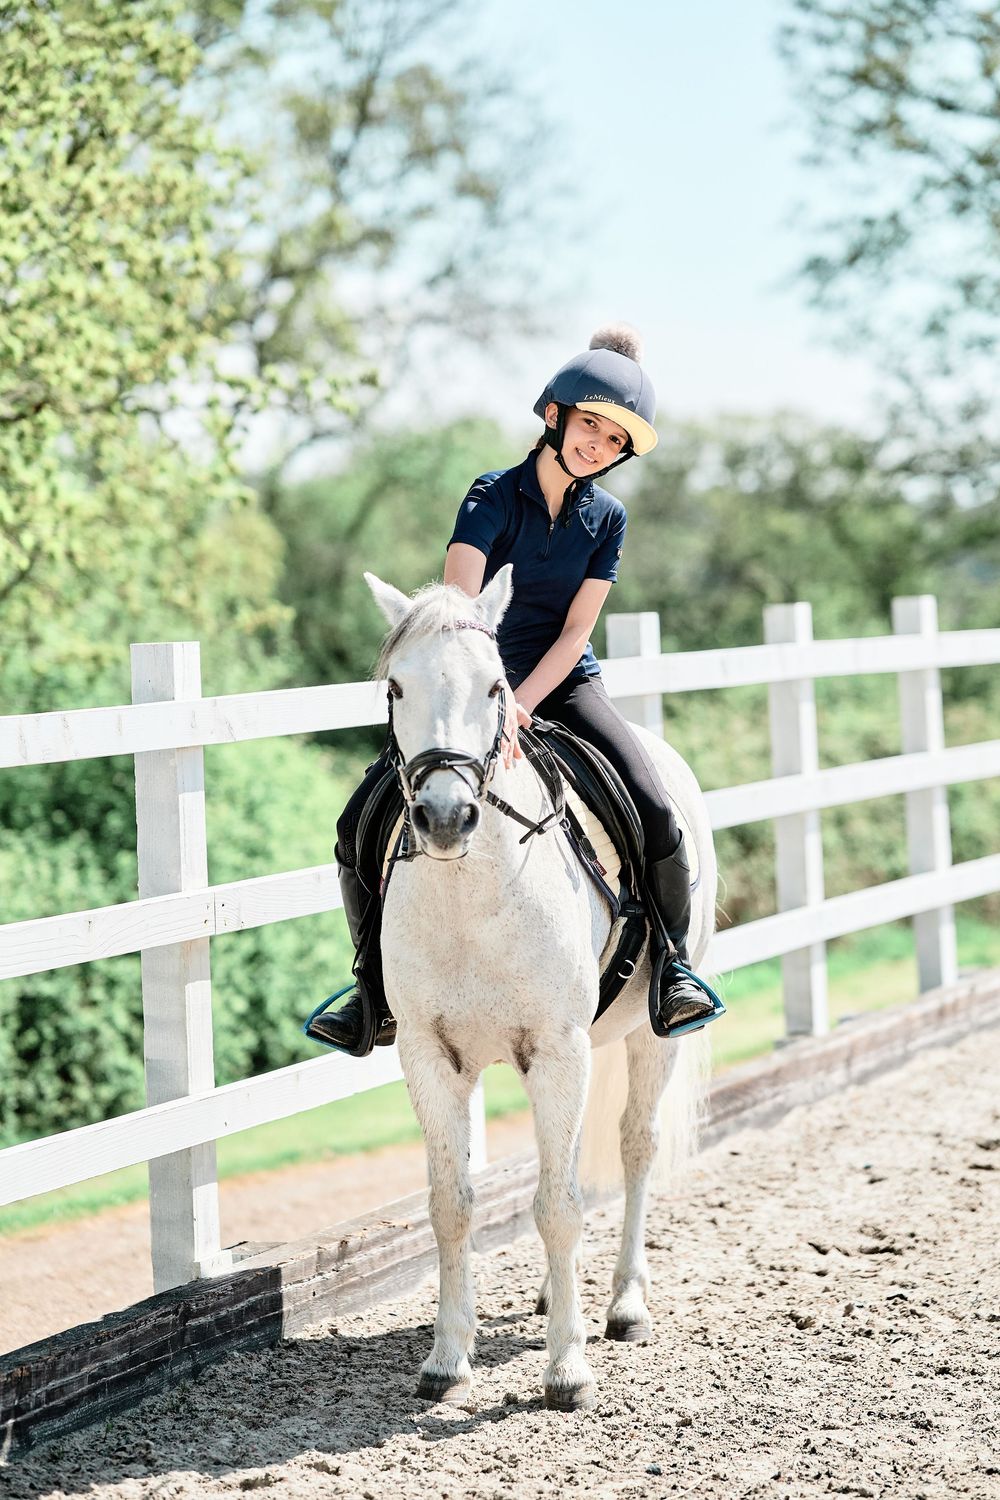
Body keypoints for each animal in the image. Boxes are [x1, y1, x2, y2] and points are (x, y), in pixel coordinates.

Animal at [365, 563, 716, 1411]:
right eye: (396, 686)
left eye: (496, 686)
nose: (445, 816)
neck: (474, 891)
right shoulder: (430, 1057)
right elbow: (451, 1205)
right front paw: (446, 1360)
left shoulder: (557, 1052)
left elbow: (558, 1208)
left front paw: (567, 1370)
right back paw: (562, 1298)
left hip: (650, 1039)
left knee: (634, 1147)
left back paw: (623, 1305)